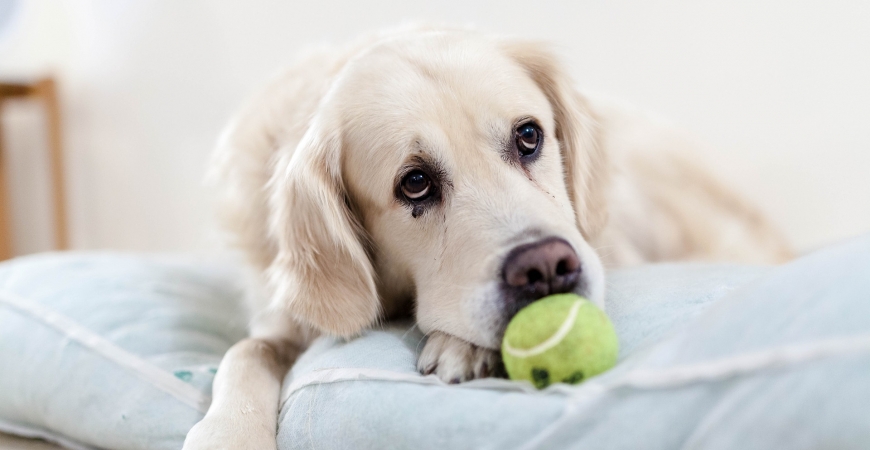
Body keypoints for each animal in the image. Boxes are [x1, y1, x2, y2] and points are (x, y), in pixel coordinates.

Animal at [181, 26, 792, 448]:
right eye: (415, 183)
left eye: (529, 136)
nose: (546, 267)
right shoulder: (282, 320)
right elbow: (245, 352)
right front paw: (228, 433)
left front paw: (466, 344)